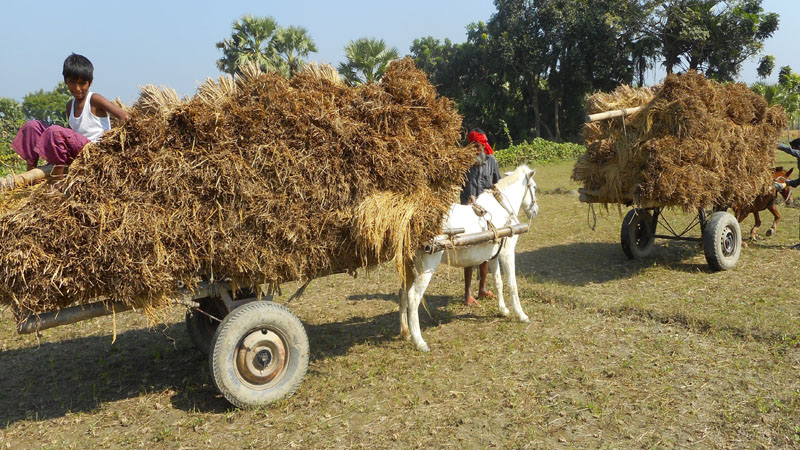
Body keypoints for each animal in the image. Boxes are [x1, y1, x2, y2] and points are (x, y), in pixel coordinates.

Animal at [398, 165, 536, 352]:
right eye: (534, 187)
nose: (535, 211)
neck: (501, 208)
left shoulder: (494, 256)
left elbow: (498, 283)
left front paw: (503, 310)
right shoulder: (507, 253)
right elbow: (512, 285)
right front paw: (521, 315)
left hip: (409, 267)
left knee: (403, 293)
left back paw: (405, 332)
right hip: (426, 266)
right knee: (413, 297)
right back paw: (419, 341)